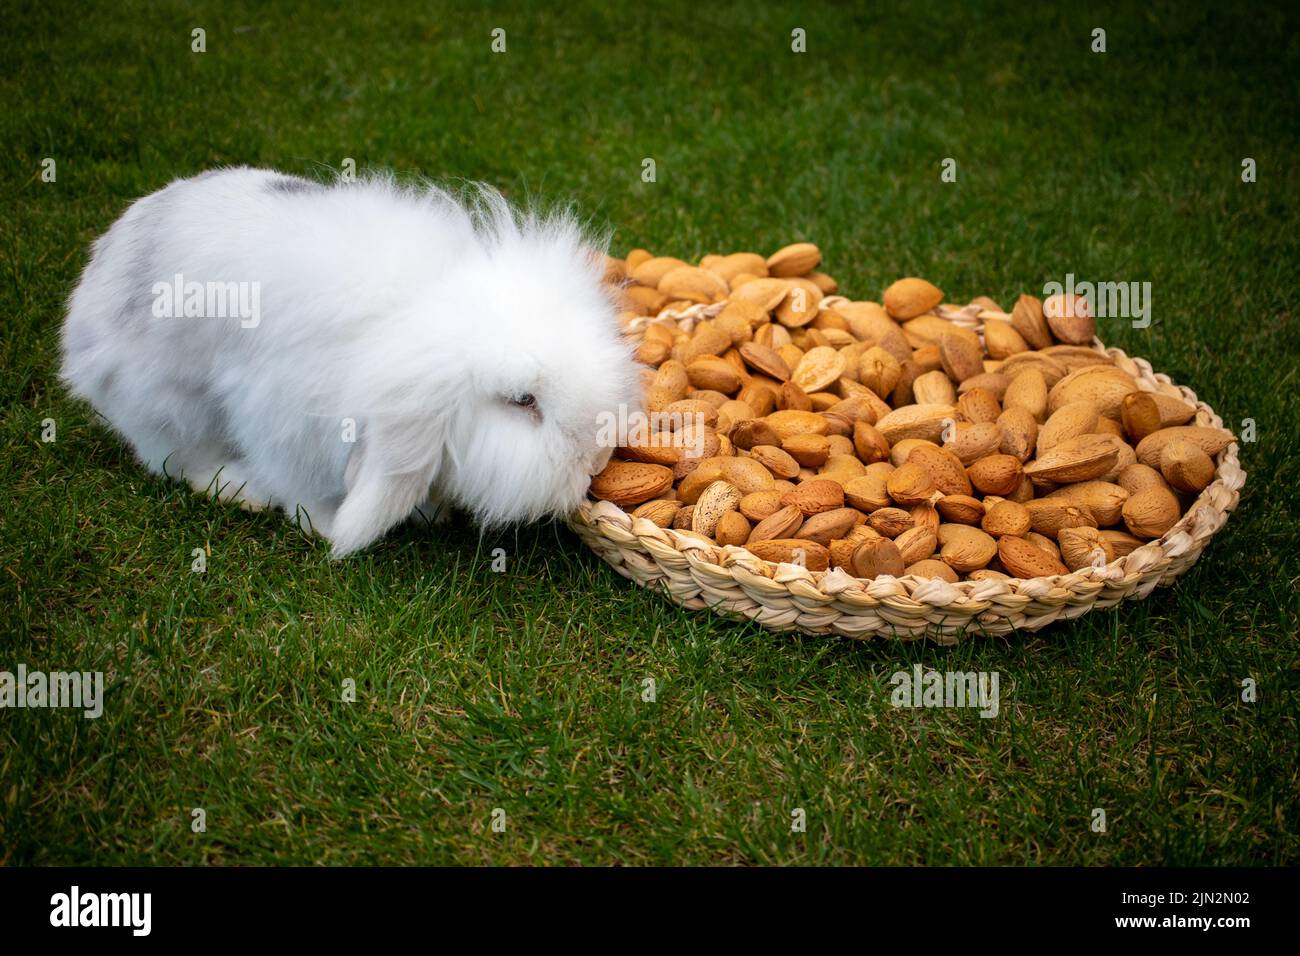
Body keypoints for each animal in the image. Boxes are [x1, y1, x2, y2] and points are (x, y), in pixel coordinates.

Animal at [60, 166, 641, 556]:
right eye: (523, 401)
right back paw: (239, 488)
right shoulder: (284, 424)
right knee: (173, 457)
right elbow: (305, 489)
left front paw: (430, 512)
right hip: (169, 402)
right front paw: (328, 527)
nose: (594, 462)